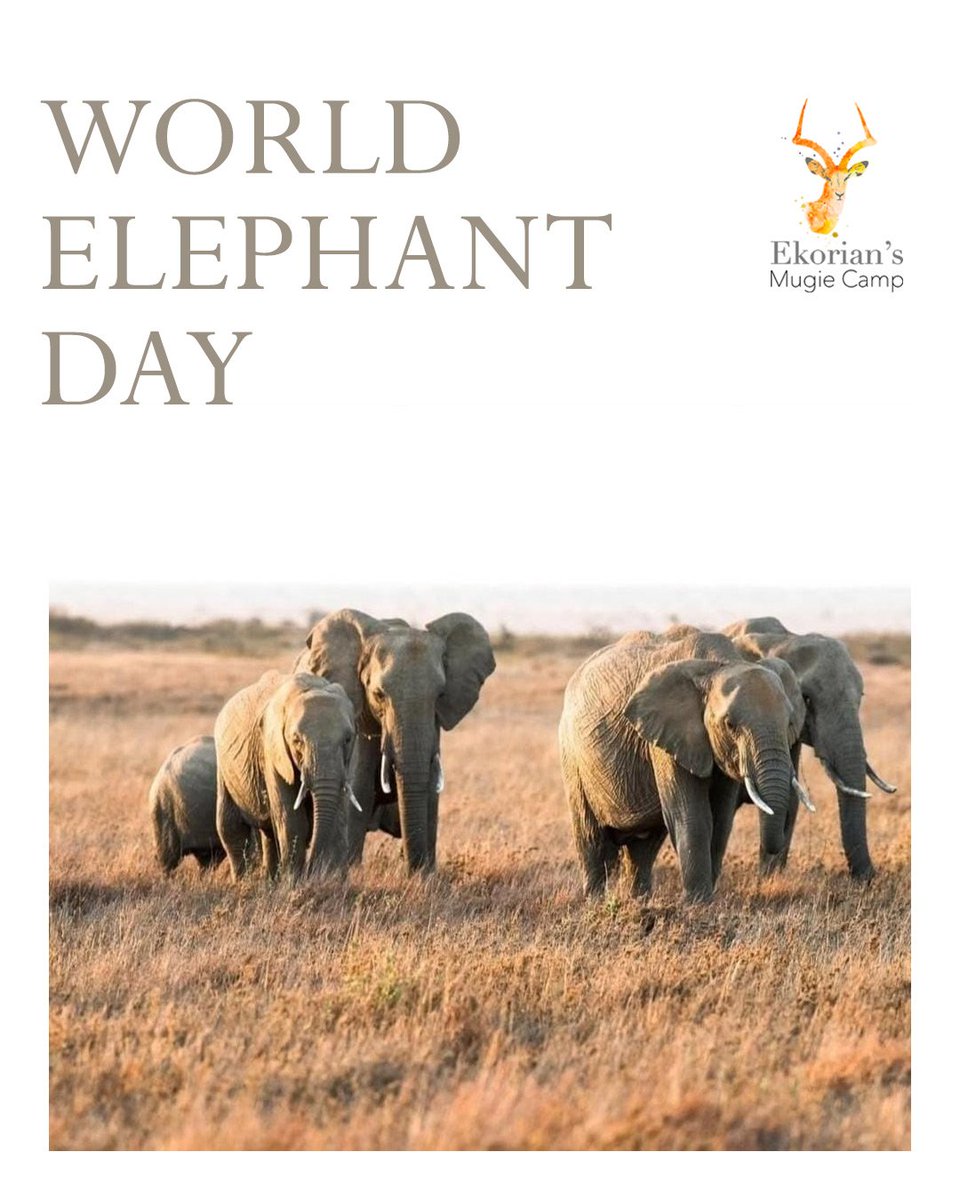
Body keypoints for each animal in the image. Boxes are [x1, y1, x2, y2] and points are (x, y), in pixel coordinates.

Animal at [214, 671, 358, 882]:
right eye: (297, 741)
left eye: (348, 739)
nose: (312, 870)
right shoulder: (273, 751)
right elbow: (292, 821)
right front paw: (294, 883)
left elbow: (339, 818)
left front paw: (333, 881)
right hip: (224, 770)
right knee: (231, 827)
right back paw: (244, 882)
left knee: (268, 833)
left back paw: (270, 882)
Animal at [294, 609, 496, 873]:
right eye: (378, 694)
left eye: (440, 695)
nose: (413, 869)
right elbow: (358, 793)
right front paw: (352, 872)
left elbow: (429, 795)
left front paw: (425, 876)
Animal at [558, 629, 806, 902]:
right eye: (730, 725)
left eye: (789, 723)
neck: (719, 666)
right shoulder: (666, 738)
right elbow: (692, 814)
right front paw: (697, 904)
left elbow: (721, 820)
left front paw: (706, 899)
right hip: (573, 759)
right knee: (592, 840)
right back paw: (596, 901)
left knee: (643, 847)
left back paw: (639, 901)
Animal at [723, 617, 897, 879]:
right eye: (807, 699)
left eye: (861, 697)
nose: (869, 878)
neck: (780, 639)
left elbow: (789, 800)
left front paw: (770, 879)